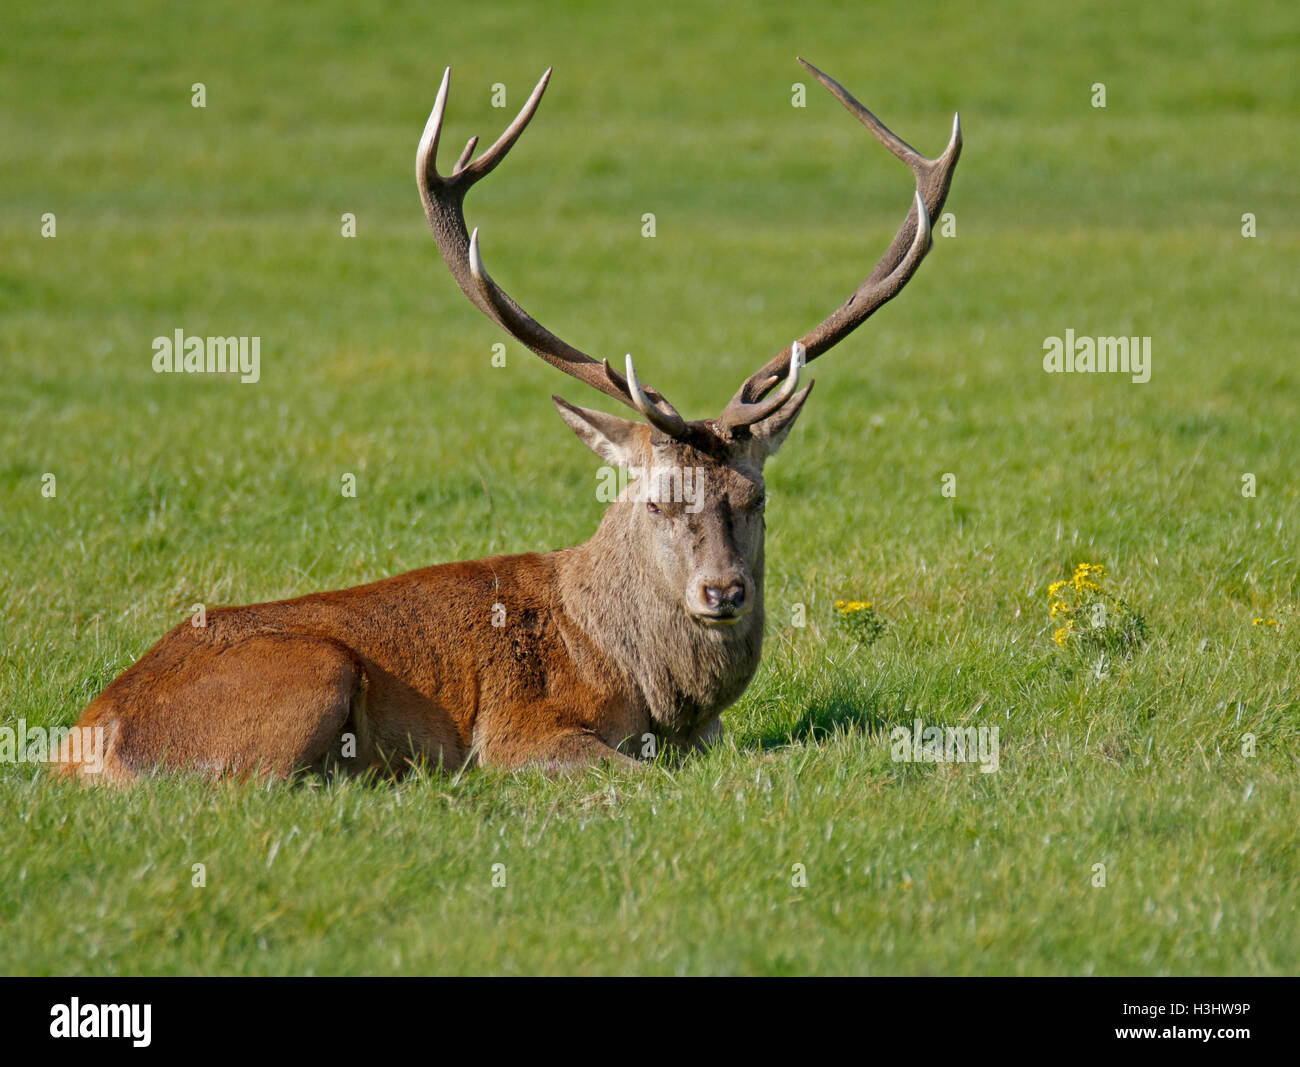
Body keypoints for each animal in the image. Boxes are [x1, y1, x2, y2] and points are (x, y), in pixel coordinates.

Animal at [56, 59, 960, 784]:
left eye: (757, 497)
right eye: (658, 499)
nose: (723, 591)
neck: (656, 695)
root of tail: (78, 746)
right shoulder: (521, 729)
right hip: (310, 670)